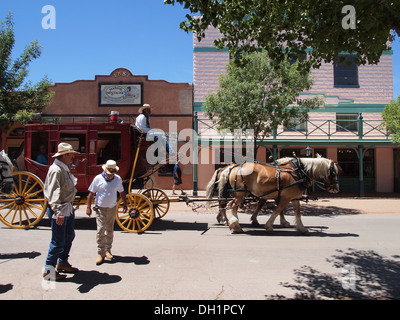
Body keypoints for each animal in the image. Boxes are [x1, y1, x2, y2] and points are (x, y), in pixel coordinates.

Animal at [206, 157, 340, 234]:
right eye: (334, 173)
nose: (336, 189)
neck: (297, 171)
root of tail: (233, 168)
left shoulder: (292, 196)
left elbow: (296, 212)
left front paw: (301, 228)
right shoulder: (285, 197)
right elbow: (277, 210)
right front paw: (269, 225)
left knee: (225, 204)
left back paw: (227, 221)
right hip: (239, 193)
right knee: (230, 204)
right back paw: (233, 224)